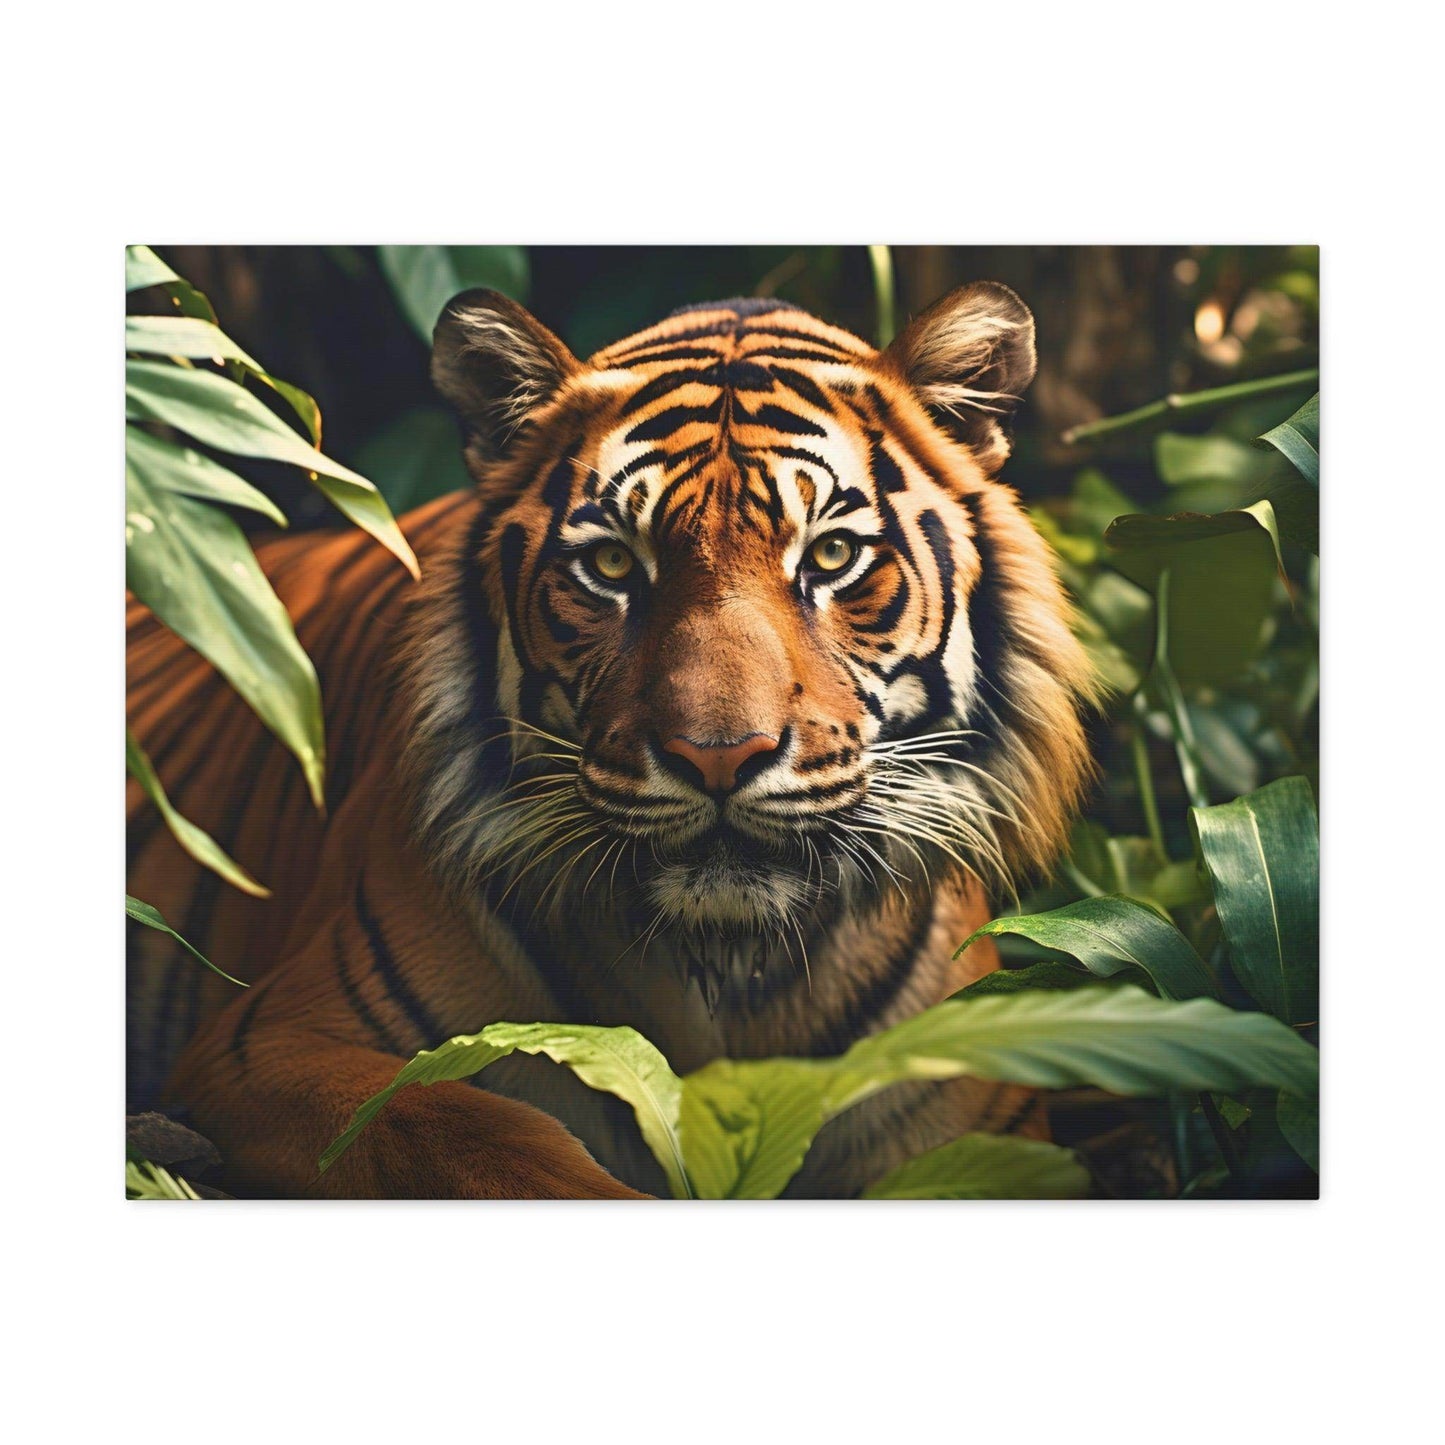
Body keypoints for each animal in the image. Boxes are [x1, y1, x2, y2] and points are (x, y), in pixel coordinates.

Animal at [125, 282, 1098, 1199]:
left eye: (829, 557)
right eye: (612, 565)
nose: (718, 755)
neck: (724, 969)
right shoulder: (271, 1043)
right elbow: (467, 1132)